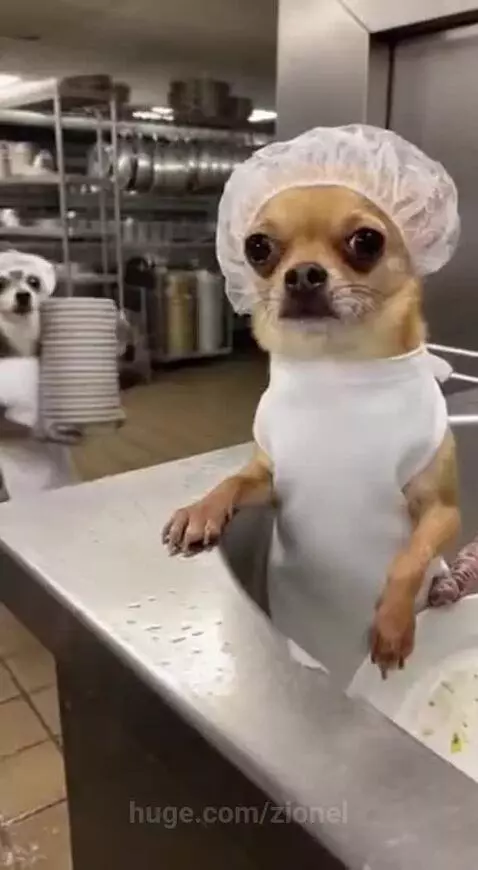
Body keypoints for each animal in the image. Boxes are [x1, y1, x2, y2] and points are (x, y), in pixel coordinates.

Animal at [163, 126, 461, 686]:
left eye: (366, 241)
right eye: (258, 247)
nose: (302, 274)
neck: (336, 368)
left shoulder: (442, 512)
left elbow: (407, 560)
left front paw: (392, 624)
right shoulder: (271, 481)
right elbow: (233, 480)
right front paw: (202, 510)